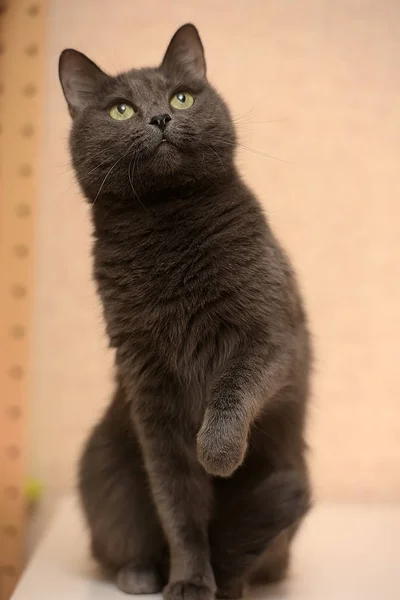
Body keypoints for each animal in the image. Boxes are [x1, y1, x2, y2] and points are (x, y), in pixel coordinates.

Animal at [57, 22, 310, 600]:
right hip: (107, 471)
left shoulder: (269, 334)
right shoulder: (148, 389)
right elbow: (178, 507)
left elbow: (234, 389)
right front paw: (190, 580)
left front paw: (217, 455)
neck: (167, 225)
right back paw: (140, 574)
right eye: (121, 109)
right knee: (128, 537)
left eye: (182, 97)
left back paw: (235, 585)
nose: (160, 118)